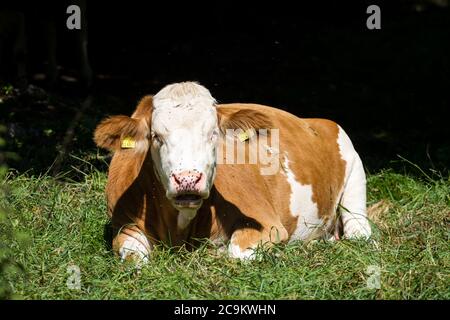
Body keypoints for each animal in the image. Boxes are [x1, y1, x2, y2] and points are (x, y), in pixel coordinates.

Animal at [93, 80, 370, 262]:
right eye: (156, 136)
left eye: (213, 133)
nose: (187, 179)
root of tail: (314, 120)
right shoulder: (124, 226)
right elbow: (134, 260)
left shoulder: (267, 223)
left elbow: (235, 253)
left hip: (354, 170)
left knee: (359, 233)